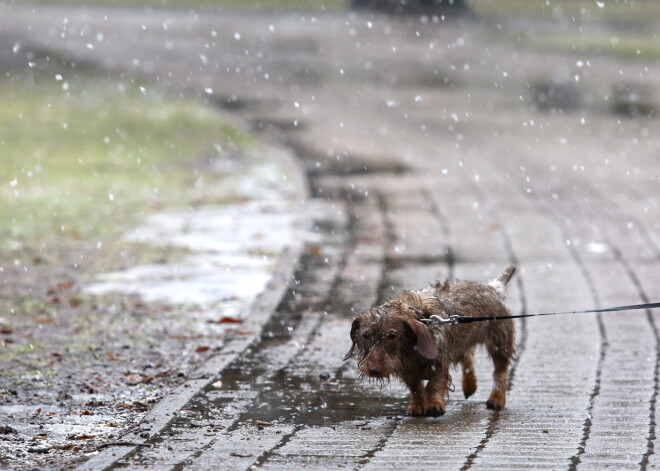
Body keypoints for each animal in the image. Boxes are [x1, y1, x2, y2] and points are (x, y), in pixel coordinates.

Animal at [342, 270, 520, 416]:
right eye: (366, 335)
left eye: (392, 336)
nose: (373, 370)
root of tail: (493, 288)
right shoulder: (407, 370)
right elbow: (415, 387)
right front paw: (417, 406)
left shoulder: (439, 363)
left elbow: (434, 384)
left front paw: (433, 404)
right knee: (468, 356)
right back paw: (469, 385)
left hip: (499, 342)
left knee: (500, 371)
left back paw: (497, 399)